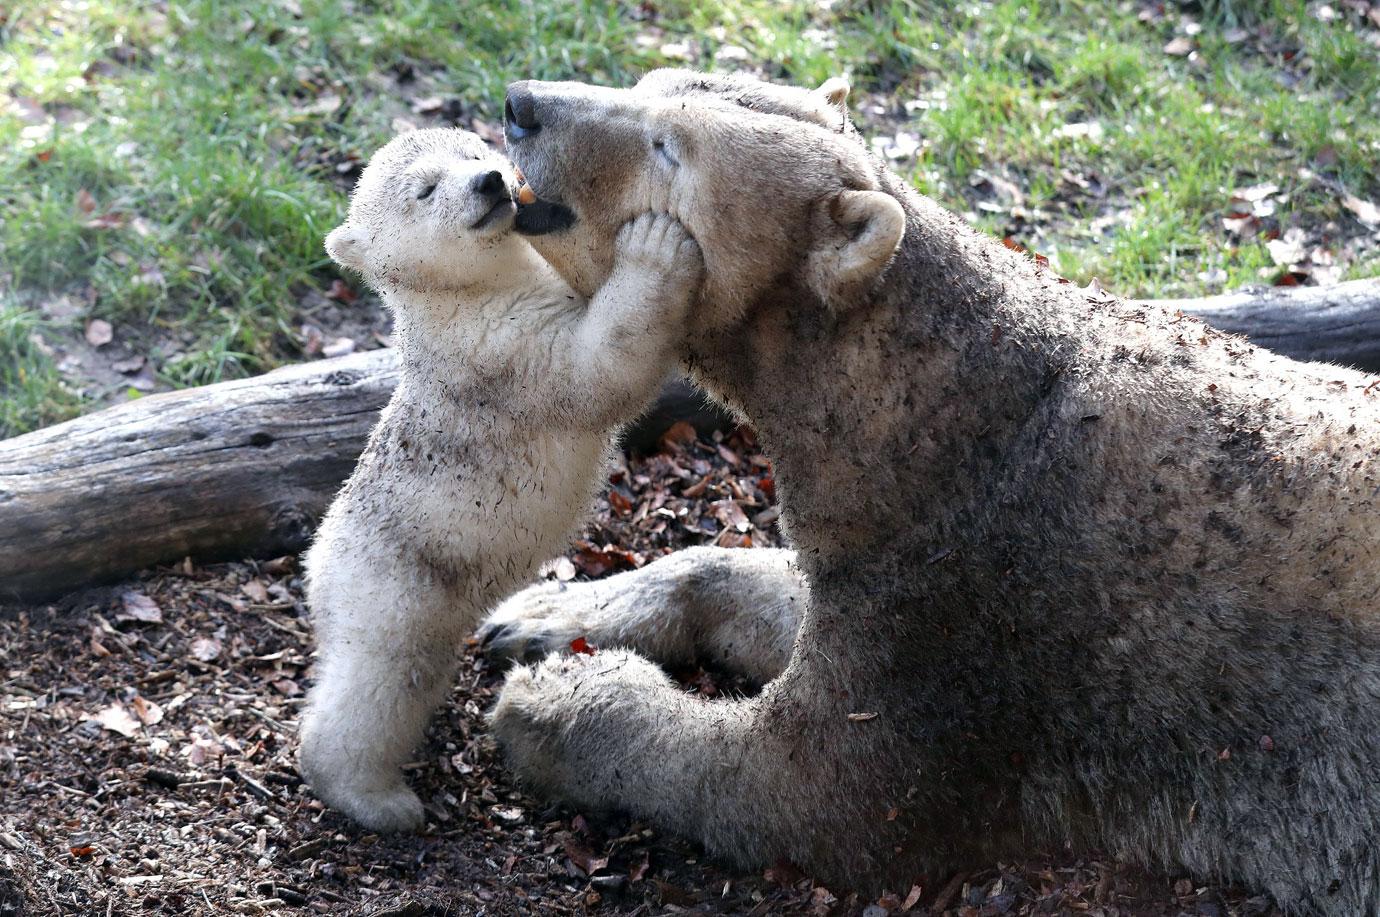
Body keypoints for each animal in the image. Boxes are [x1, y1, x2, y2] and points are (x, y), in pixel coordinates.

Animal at [485, 69, 1380, 911]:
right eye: (645, 86)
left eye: (670, 148)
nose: (520, 104)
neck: (960, 406)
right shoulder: (900, 542)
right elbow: (775, 588)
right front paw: (546, 611)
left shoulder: (988, 605)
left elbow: (806, 791)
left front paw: (555, 700)